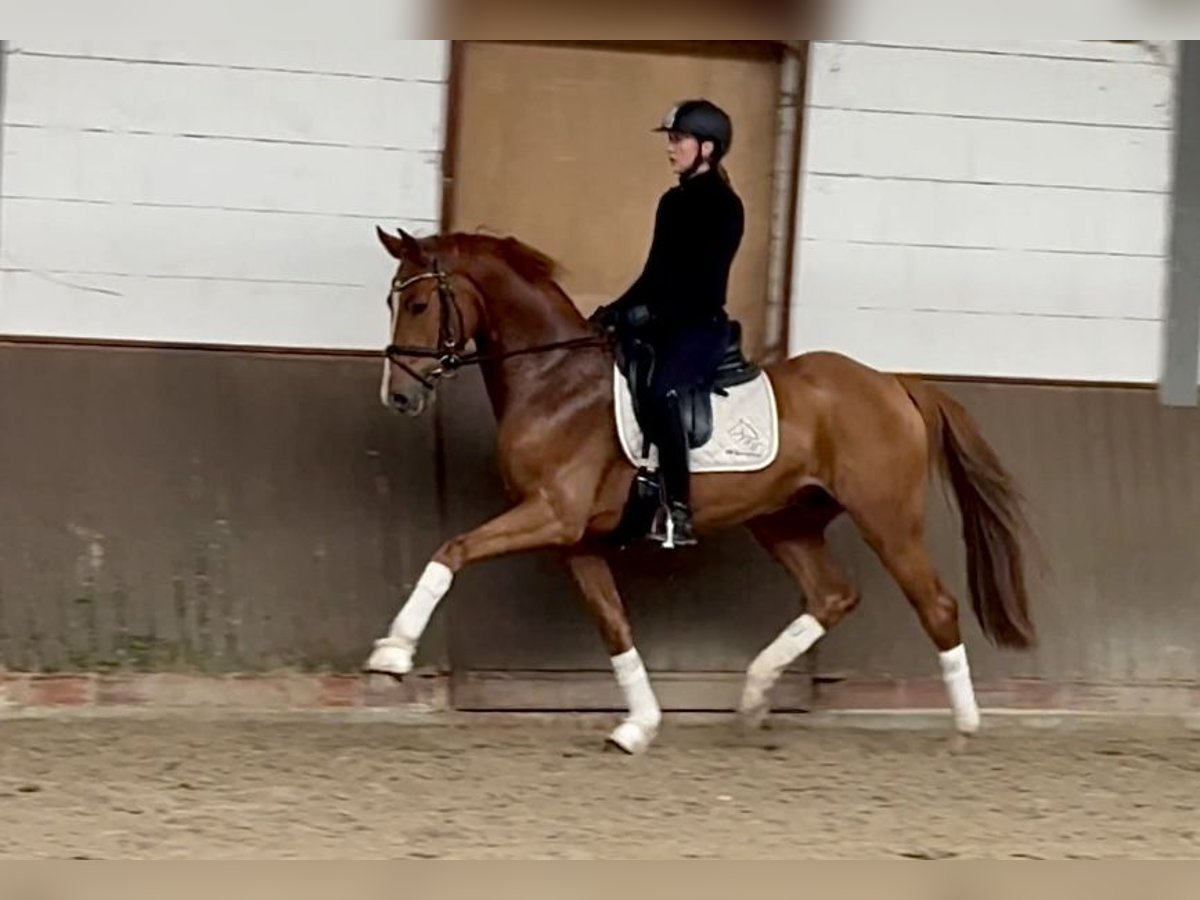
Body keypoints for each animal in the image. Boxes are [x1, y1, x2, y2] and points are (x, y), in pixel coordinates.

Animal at [363, 226, 1039, 755]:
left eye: (418, 302)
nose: (398, 397)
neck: (555, 380)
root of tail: (892, 382)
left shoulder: (552, 514)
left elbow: (452, 550)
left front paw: (392, 655)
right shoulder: (574, 539)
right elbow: (614, 625)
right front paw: (638, 725)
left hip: (887, 519)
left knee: (937, 606)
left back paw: (964, 728)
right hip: (784, 521)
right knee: (832, 595)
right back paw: (754, 695)